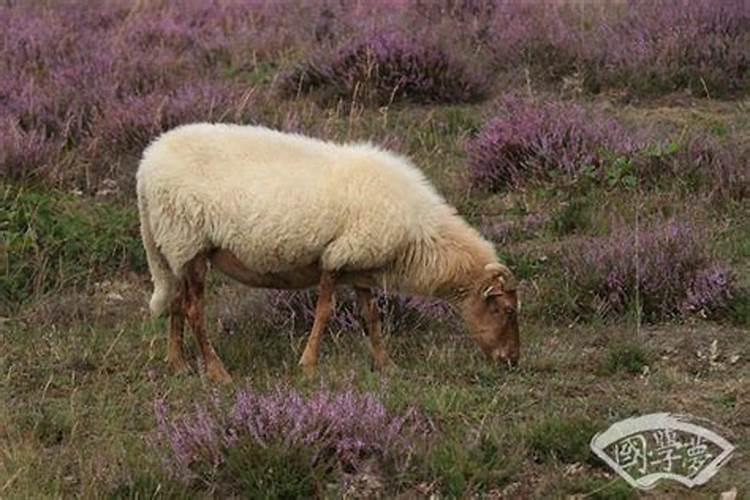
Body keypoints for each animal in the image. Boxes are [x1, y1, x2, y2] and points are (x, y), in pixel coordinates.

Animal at [137, 124, 524, 382]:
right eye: (506, 310)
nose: (512, 361)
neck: (420, 236)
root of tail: (146, 164)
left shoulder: (362, 266)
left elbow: (372, 317)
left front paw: (386, 365)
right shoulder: (338, 256)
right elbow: (325, 311)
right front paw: (308, 365)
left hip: (178, 249)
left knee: (177, 304)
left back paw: (179, 364)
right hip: (189, 241)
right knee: (193, 310)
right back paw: (217, 372)